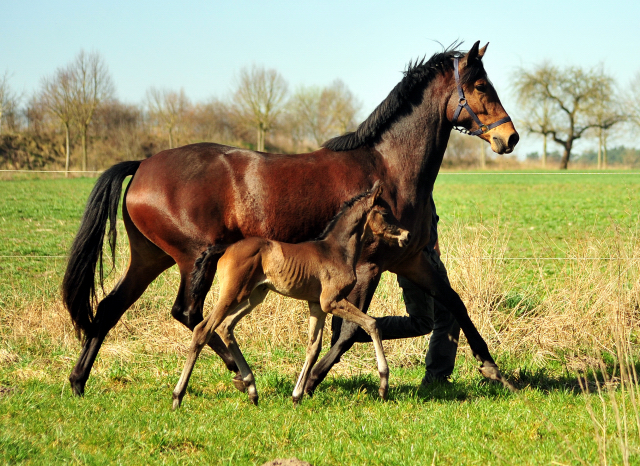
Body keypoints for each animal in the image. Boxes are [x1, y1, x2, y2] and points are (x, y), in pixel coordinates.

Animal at [170, 182, 410, 408]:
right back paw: (178, 396)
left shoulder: (317, 305)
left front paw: (296, 396)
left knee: (226, 326)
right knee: (203, 329)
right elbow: (372, 324)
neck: (336, 251)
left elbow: (313, 347)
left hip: (254, 296)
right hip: (232, 293)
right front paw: (383, 385)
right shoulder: (331, 302)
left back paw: (252, 390)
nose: (406, 236)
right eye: (385, 213)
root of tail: (226, 248)